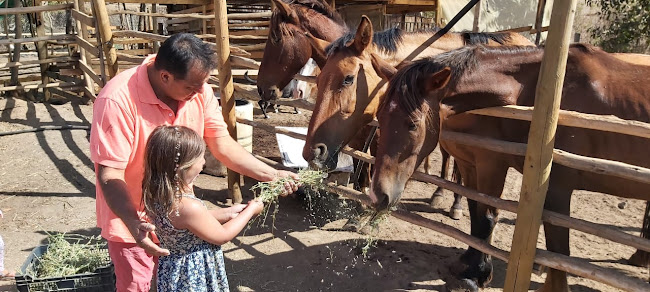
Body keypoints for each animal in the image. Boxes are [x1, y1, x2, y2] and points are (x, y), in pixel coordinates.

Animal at [370, 44, 648, 290]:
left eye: (412, 123)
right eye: (379, 115)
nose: (379, 195)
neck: (543, 97)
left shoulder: (519, 174)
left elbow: (503, 224)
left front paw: (477, 275)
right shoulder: (470, 164)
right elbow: (476, 212)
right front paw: (470, 267)